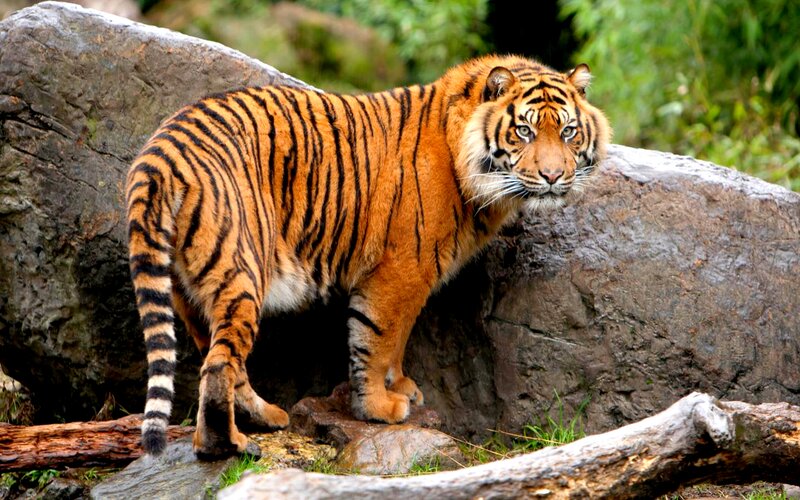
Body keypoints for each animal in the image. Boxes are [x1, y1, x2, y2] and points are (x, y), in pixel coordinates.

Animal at [125, 54, 611, 458]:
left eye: (568, 131)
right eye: (524, 131)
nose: (553, 176)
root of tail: (158, 157)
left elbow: (397, 340)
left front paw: (402, 387)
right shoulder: (401, 270)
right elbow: (376, 339)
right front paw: (379, 407)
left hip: (190, 291)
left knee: (222, 358)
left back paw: (264, 417)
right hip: (242, 271)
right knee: (218, 365)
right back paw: (227, 445)